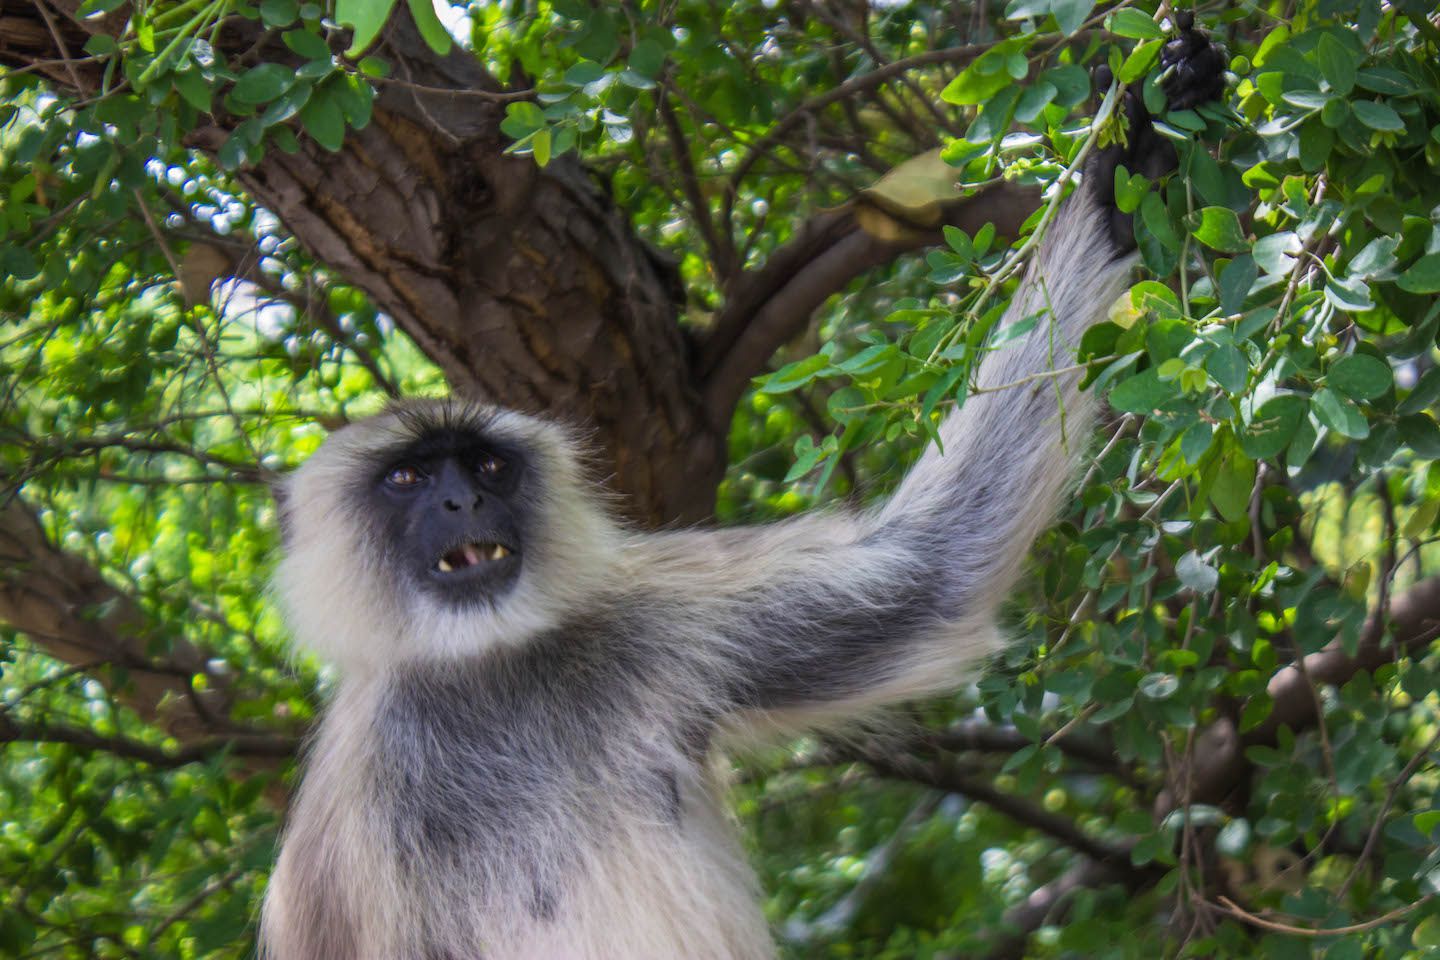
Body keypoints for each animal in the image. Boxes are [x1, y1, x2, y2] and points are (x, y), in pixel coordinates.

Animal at [260, 21, 1225, 960]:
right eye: (409, 477)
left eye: (488, 466)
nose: (464, 504)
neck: (489, 667)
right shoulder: (351, 826)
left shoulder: (655, 622)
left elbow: (932, 576)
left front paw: (1122, 166)